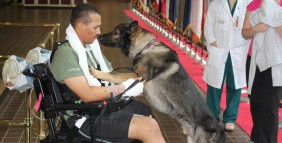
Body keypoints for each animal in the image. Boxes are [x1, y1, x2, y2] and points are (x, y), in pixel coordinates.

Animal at [90, 20, 225, 143]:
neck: (144, 48)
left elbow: (114, 75)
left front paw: (97, 73)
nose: (98, 36)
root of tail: (220, 132)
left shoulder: (138, 76)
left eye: (115, 32)